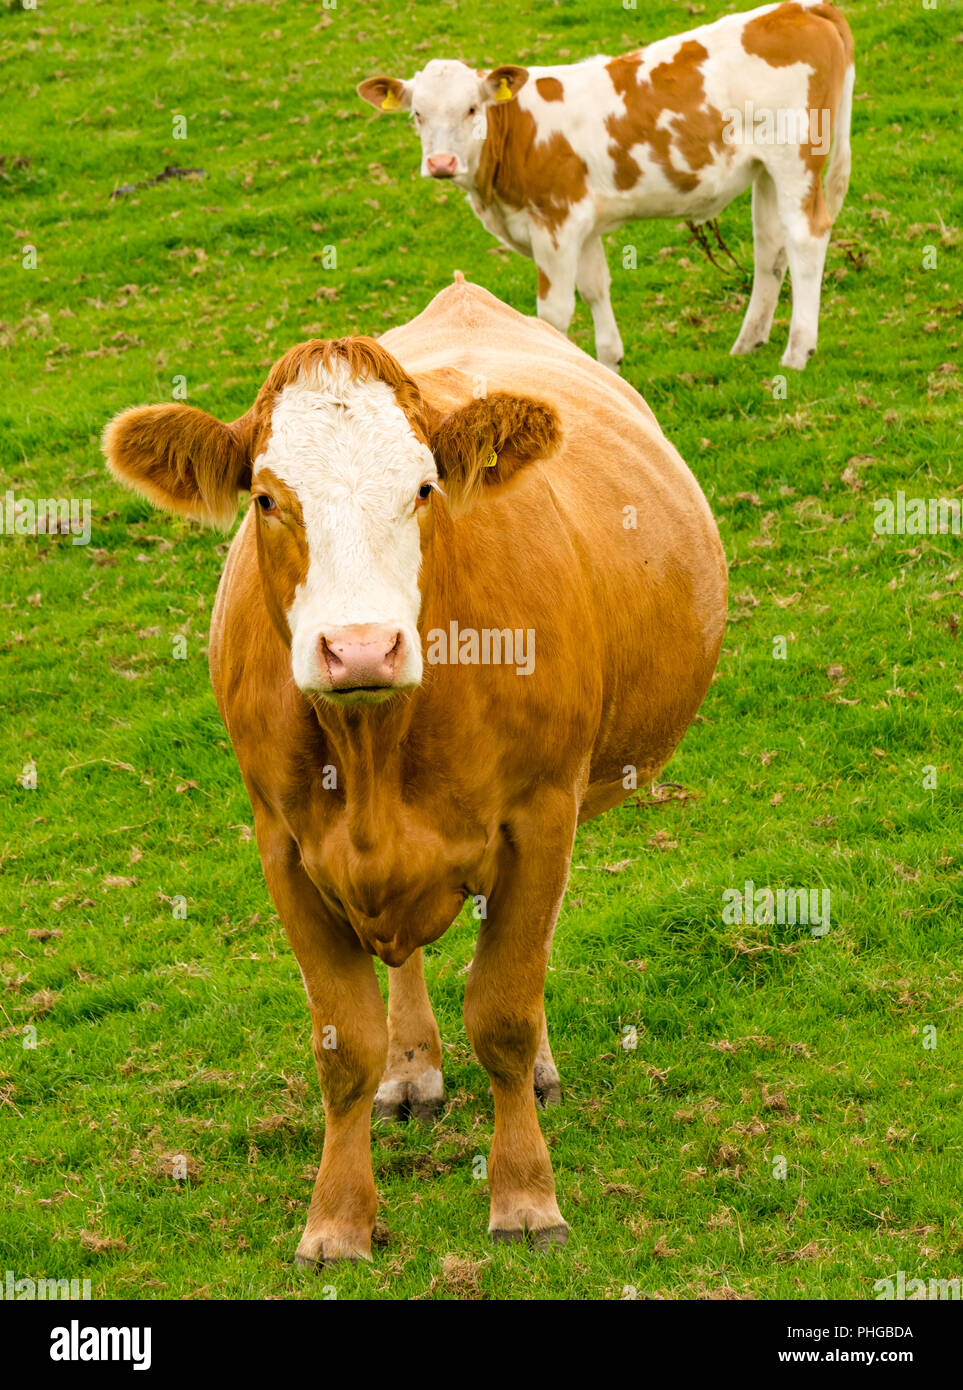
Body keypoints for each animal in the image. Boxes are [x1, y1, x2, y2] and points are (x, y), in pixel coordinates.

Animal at [101, 276, 722, 1267]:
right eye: (266, 498)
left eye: (424, 487)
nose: (359, 647)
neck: (374, 744)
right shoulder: (283, 848)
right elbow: (341, 1046)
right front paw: (336, 1220)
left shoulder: (539, 819)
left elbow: (504, 1012)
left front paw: (525, 1199)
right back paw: (412, 1071)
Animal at [355, 1, 850, 369]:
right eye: (417, 114)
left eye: (472, 109)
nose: (441, 162)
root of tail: (798, 8)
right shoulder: (583, 223)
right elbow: (596, 288)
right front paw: (609, 368)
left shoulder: (555, 223)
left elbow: (553, 314)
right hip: (766, 168)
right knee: (771, 248)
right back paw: (749, 342)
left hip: (796, 157)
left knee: (806, 237)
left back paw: (797, 350)